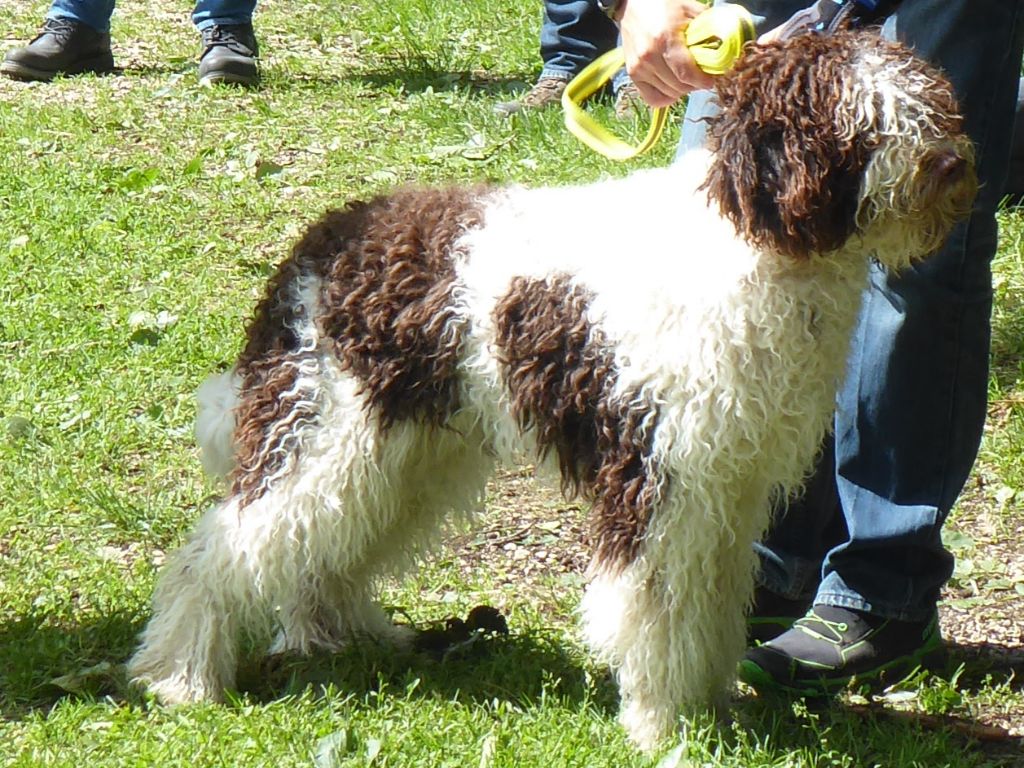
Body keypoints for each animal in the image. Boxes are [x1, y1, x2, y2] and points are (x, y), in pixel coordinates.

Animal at [128, 30, 974, 753]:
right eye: (864, 117)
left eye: (927, 98)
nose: (950, 165)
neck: (754, 239)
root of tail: (314, 247)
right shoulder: (659, 480)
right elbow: (655, 609)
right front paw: (663, 725)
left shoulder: (728, 491)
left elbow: (710, 602)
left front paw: (711, 703)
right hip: (328, 433)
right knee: (217, 552)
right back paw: (179, 675)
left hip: (404, 453)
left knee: (322, 554)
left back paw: (339, 635)